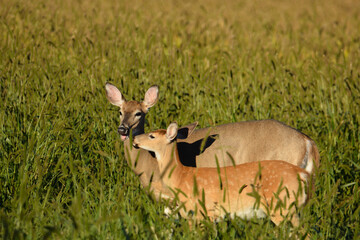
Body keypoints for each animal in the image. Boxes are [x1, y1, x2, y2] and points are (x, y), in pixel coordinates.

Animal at [133, 123, 310, 226]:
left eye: (151, 135)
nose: (134, 139)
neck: (181, 176)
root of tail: (303, 174)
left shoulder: (202, 212)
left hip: (282, 207)